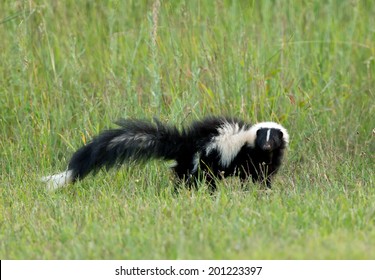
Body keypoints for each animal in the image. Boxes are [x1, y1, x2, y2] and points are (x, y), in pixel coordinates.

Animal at [44, 116, 290, 192]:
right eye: (263, 139)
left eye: (273, 140)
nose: (267, 147)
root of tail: (185, 143)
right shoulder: (247, 156)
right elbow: (250, 175)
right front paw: (253, 190)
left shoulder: (268, 162)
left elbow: (265, 176)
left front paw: (266, 191)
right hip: (202, 160)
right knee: (196, 178)